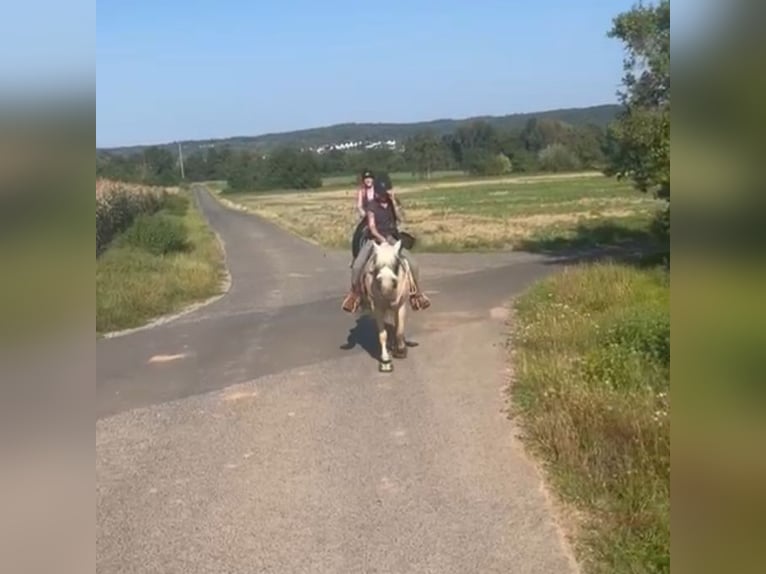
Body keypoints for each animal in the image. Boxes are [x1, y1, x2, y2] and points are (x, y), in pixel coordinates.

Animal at [362, 240, 412, 372]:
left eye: (395, 262)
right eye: (376, 263)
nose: (386, 283)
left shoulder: (401, 306)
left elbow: (399, 330)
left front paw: (400, 350)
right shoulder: (378, 308)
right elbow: (383, 335)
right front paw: (385, 360)